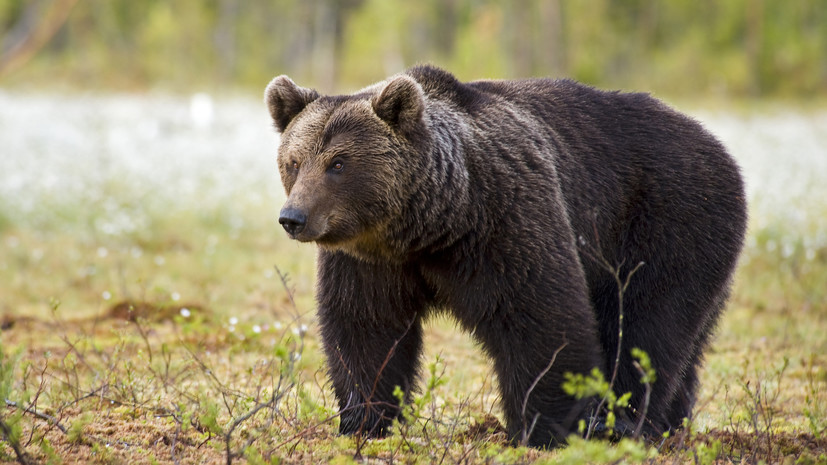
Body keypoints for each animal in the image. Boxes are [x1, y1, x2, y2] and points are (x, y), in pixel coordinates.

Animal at [266, 65, 752, 446]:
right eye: (294, 161)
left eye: (338, 163)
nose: (293, 217)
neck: (432, 225)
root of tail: (718, 145)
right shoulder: (369, 261)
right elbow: (366, 330)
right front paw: (364, 420)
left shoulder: (505, 221)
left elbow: (540, 318)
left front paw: (546, 429)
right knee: (687, 339)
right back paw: (668, 425)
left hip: (668, 221)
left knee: (645, 325)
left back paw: (622, 423)